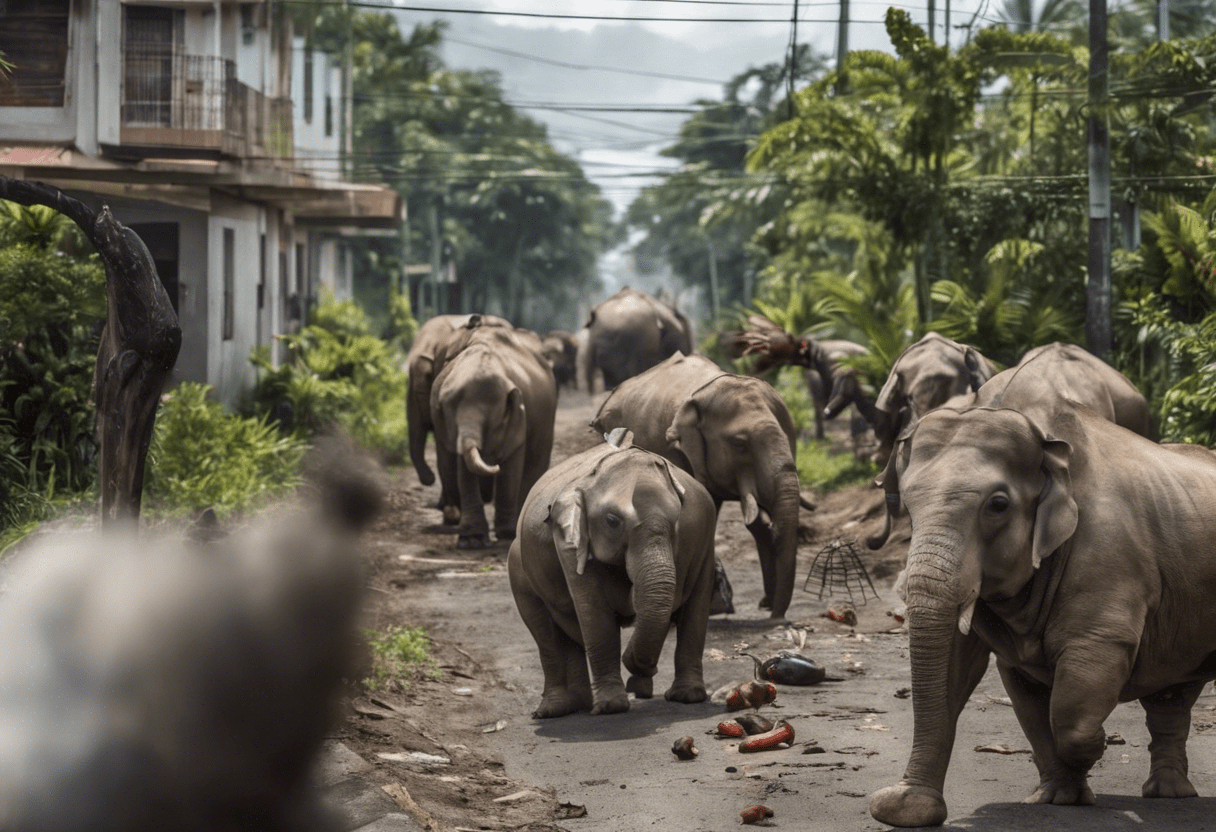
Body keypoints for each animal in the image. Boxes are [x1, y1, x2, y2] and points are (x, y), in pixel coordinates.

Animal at [430, 318, 556, 544]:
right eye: (449, 412)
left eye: (493, 419)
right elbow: (465, 466)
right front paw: (470, 540)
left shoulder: (519, 415)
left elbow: (512, 463)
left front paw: (506, 535)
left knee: (535, 462)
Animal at [505, 428, 715, 715]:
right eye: (612, 522)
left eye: (676, 523)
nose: (636, 668)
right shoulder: (570, 543)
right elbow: (595, 614)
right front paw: (611, 706)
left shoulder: (700, 538)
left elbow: (683, 604)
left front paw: (643, 683)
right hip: (517, 564)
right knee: (545, 632)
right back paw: (555, 710)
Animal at [865, 401, 1216, 827]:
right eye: (909, 506)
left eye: (998, 505)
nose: (887, 804)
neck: (1046, 438)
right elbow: (988, 679)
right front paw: (1057, 798)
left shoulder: (1110, 559)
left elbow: (1079, 687)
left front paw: (1097, 744)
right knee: (1173, 697)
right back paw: (1167, 792)